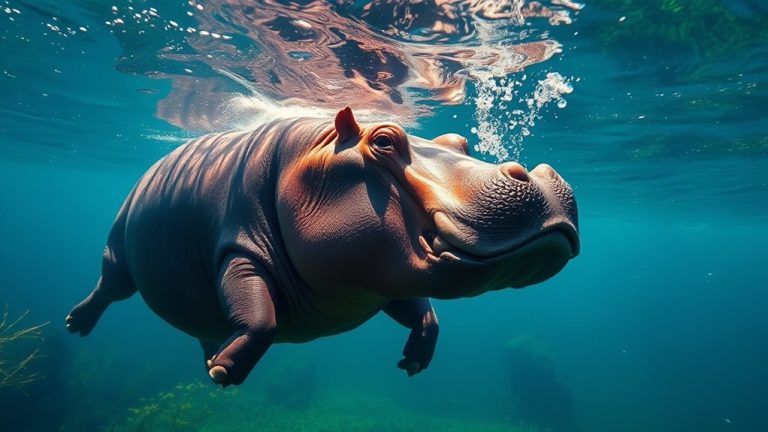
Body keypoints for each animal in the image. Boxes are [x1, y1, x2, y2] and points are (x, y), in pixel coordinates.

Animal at [65, 107, 579, 386]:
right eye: (384, 140)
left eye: (460, 140)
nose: (534, 173)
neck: (312, 150)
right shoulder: (238, 250)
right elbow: (259, 315)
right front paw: (224, 375)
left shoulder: (377, 280)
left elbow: (422, 312)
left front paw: (413, 363)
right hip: (118, 250)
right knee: (109, 286)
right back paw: (76, 324)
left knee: (204, 325)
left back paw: (209, 355)